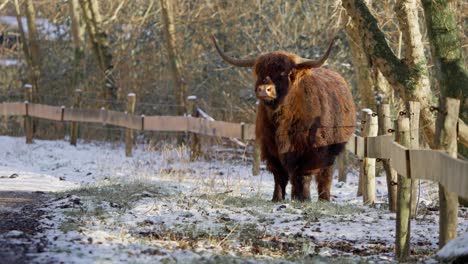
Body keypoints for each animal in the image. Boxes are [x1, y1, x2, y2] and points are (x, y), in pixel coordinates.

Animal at [212, 36, 354, 201]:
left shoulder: (312, 149)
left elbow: (304, 174)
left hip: (332, 149)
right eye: (260, 71)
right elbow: (279, 175)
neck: (282, 117)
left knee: (325, 174)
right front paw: (277, 198)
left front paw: (305, 198)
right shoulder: (270, 147)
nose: (264, 89)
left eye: (283, 73)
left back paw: (323, 198)